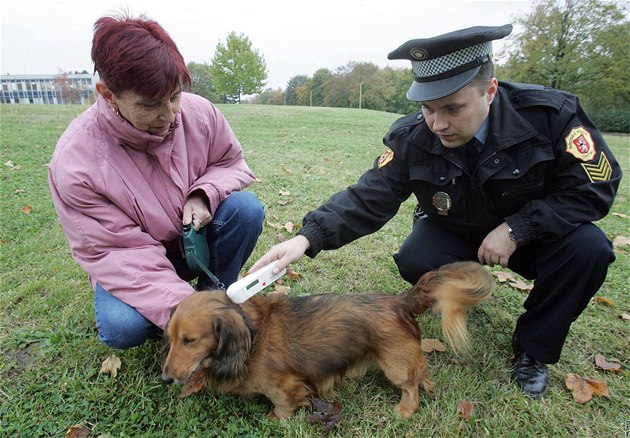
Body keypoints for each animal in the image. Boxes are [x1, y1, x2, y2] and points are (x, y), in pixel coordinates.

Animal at [162, 260, 494, 418]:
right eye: (171, 338)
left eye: (190, 340)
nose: (165, 379)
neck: (252, 336)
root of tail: (400, 301)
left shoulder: (284, 387)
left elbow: (283, 406)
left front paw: (275, 419)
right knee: (421, 373)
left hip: (395, 364)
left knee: (410, 386)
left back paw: (405, 409)